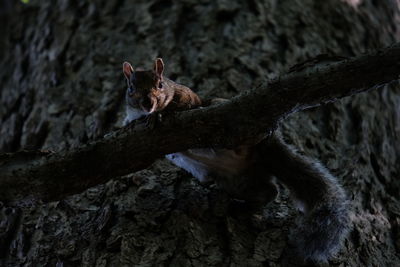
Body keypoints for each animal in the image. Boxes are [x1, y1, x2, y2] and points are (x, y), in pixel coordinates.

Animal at [122, 57, 350, 264]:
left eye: (160, 84)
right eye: (131, 88)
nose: (148, 104)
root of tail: (268, 143)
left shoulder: (187, 95)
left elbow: (181, 105)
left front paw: (157, 116)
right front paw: (129, 124)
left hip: (231, 127)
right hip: (237, 182)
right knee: (269, 191)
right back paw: (240, 206)